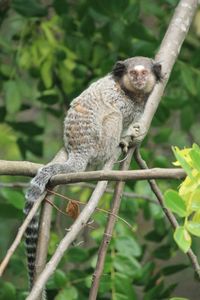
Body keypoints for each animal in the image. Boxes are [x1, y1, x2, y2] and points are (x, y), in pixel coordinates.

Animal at [24, 56, 162, 288]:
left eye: (144, 73)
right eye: (133, 74)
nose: (139, 80)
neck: (128, 92)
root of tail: (79, 151)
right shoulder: (123, 104)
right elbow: (120, 114)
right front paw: (128, 135)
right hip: (100, 144)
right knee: (114, 117)